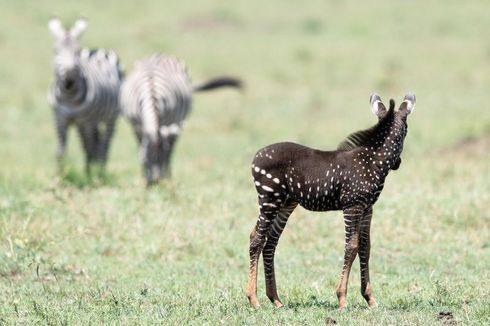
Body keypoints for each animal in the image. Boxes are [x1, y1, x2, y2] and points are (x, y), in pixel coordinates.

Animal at [48, 17, 123, 176]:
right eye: (55, 51)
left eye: (76, 52)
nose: (68, 80)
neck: (68, 97)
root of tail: (97, 49)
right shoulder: (59, 118)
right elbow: (60, 151)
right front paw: (59, 176)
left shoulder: (88, 121)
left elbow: (89, 149)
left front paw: (88, 176)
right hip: (82, 123)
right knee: (95, 143)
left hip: (110, 117)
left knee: (103, 146)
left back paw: (100, 171)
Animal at [118, 53, 241, 186]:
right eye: (146, 161)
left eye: (161, 159)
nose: (156, 182)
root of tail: (160, 54)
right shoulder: (136, 125)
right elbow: (140, 147)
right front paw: (144, 176)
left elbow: (168, 151)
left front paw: (166, 176)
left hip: (178, 122)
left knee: (172, 146)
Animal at [247, 91, 416, 308]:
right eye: (406, 131)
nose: (398, 163)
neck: (372, 161)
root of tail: (256, 156)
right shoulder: (352, 206)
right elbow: (351, 247)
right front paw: (342, 298)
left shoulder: (367, 208)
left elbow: (365, 248)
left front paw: (370, 298)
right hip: (269, 199)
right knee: (257, 240)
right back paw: (254, 299)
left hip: (285, 204)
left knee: (269, 243)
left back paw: (275, 299)